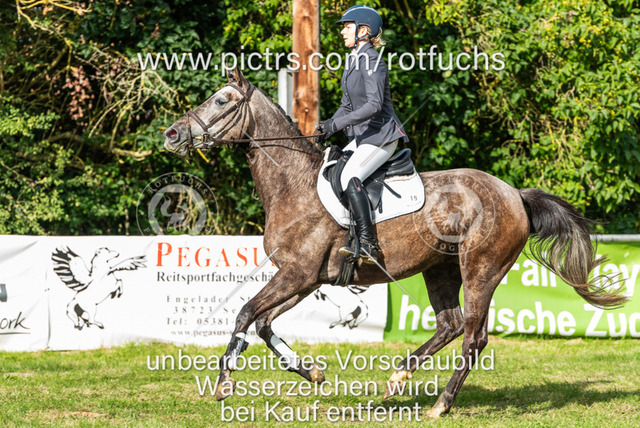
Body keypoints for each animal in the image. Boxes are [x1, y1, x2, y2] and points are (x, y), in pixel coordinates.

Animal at [162, 67, 626, 418]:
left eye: (222, 101)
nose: (172, 134)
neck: (292, 185)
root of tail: (514, 194)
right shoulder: (306, 279)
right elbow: (263, 323)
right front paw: (311, 372)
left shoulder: (296, 274)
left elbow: (244, 313)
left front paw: (224, 384)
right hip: (440, 269)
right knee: (450, 324)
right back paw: (398, 379)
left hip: (481, 269)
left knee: (473, 337)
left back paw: (440, 405)